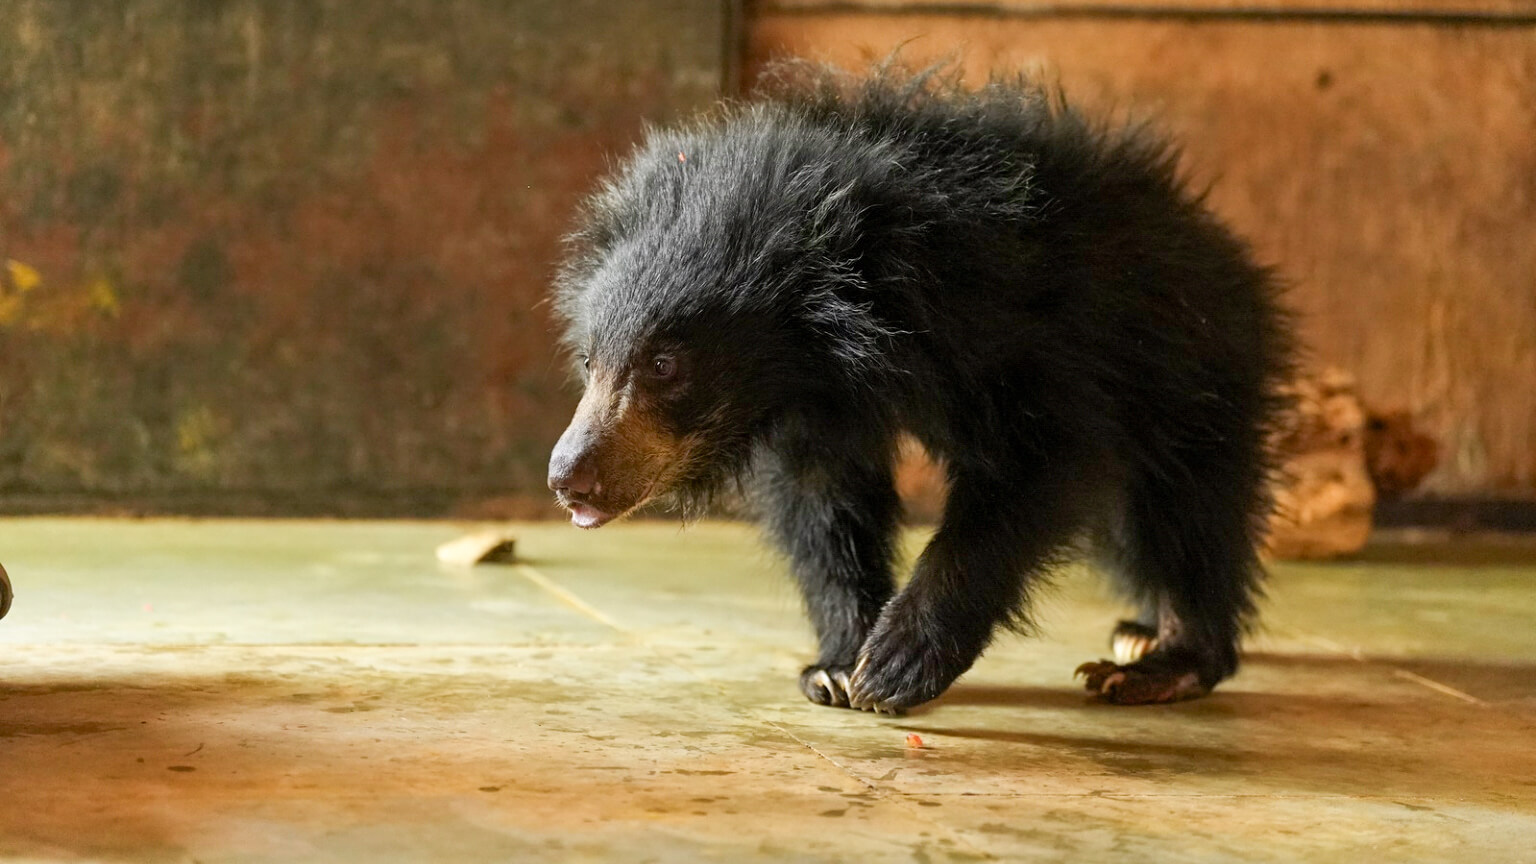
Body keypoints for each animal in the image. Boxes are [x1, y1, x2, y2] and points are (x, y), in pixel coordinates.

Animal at [546, 62, 1294, 713]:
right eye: (589, 361)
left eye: (664, 365)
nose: (568, 477)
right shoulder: (814, 413)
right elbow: (824, 503)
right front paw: (838, 666)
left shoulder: (1018, 332)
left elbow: (1038, 463)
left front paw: (898, 662)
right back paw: (1138, 628)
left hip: (1191, 367)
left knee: (1184, 508)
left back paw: (1165, 659)